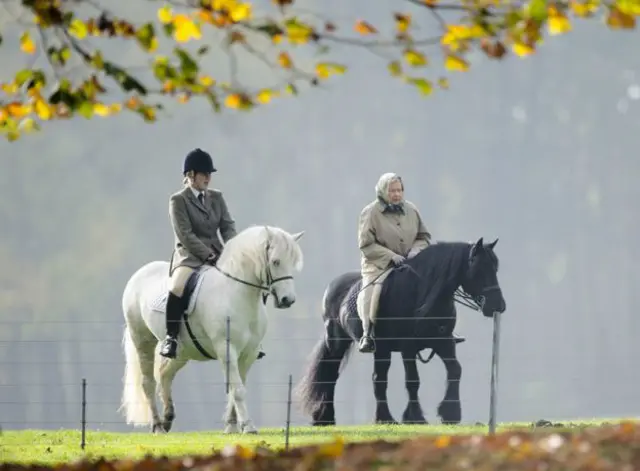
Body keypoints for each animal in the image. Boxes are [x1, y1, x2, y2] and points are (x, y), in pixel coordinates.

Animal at [119, 225, 305, 434]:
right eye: (275, 261)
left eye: (292, 262)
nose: (288, 300)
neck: (236, 293)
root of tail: (139, 274)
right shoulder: (227, 350)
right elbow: (237, 390)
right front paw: (248, 427)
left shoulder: (248, 353)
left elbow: (236, 388)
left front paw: (232, 426)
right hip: (142, 340)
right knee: (148, 382)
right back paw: (158, 426)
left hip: (182, 352)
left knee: (165, 373)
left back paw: (167, 419)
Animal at [295, 237, 505, 426]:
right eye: (479, 268)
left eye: (495, 268)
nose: (498, 306)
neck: (422, 294)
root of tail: (333, 286)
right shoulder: (408, 347)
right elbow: (413, 380)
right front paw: (416, 417)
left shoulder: (443, 342)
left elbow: (455, 370)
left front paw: (450, 414)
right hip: (338, 344)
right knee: (331, 376)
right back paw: (327, 418)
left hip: (381, 350)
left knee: (378, 379)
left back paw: (382, 418)